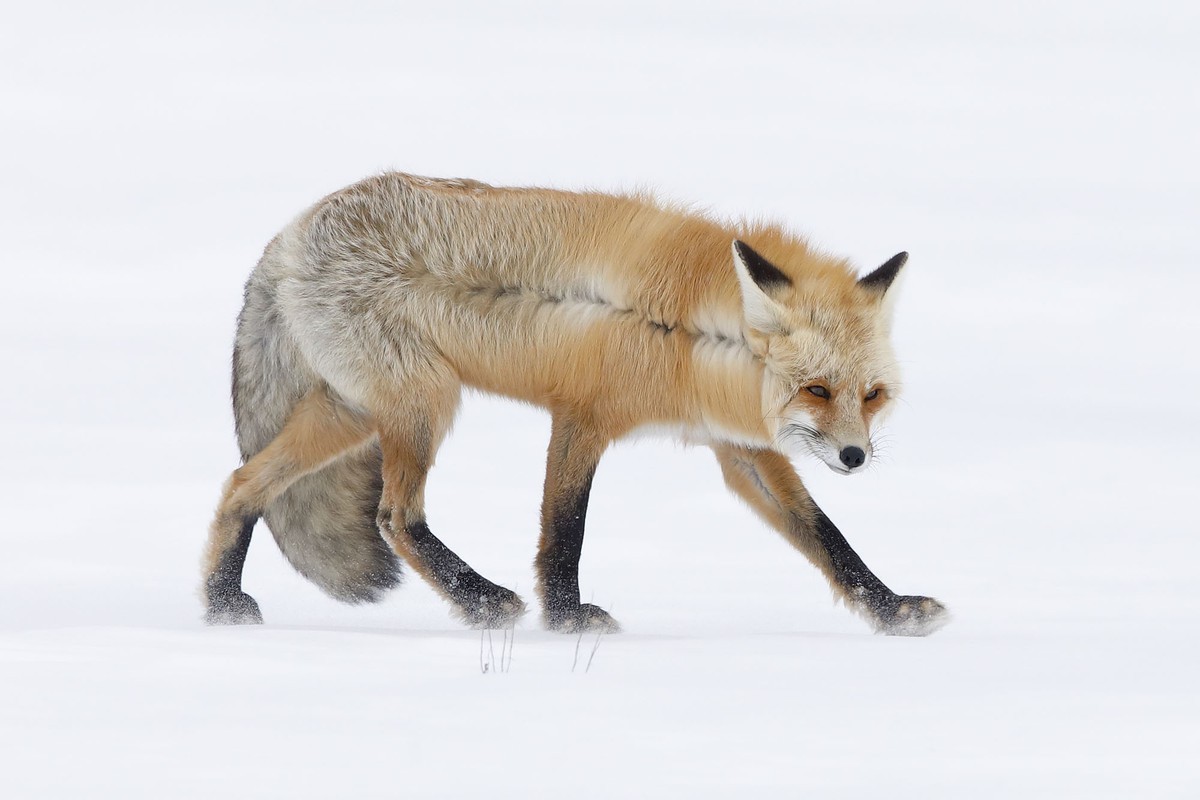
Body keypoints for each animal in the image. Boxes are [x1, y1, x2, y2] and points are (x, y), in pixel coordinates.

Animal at [202, 171, 949, 636]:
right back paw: (482, 602)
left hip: (355, 416)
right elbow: (565, 531)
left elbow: (825, 535)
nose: (855, 456)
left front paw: (892, 610)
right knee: (395, 518)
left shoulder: (738, 449)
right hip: (423, 405)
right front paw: (566, 618)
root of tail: (290, 233)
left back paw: (221, 603)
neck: (690, 334)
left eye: (872, 396)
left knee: (242, 484)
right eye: (817, 389)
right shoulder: (582, 418)